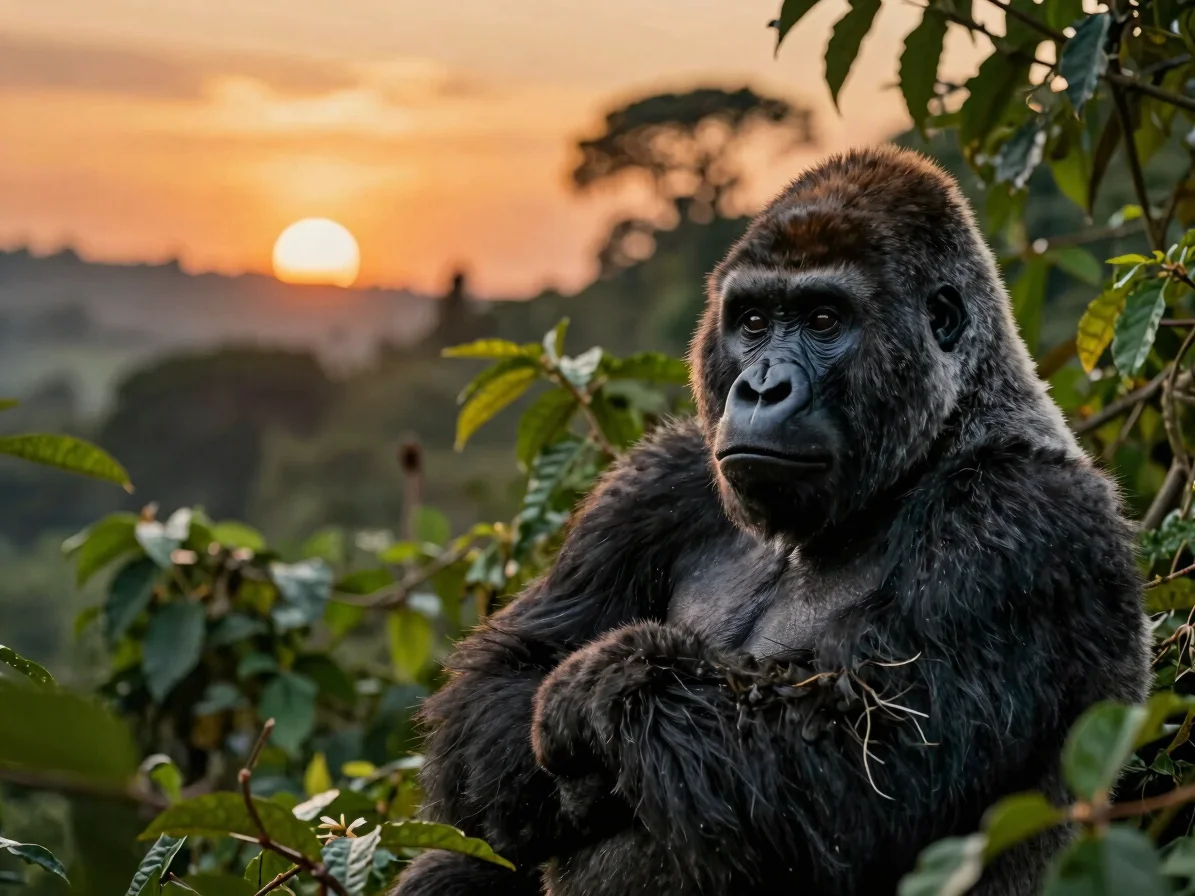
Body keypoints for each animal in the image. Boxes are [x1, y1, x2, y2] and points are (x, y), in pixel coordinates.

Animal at [392, 145, 1150, 896]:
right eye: (753, 322)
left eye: (823, 320)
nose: (761, 387)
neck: (938, 436)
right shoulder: (654, 479)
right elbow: (500, 687)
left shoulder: (1023, 521)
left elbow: (848, 774)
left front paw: (600, 689)